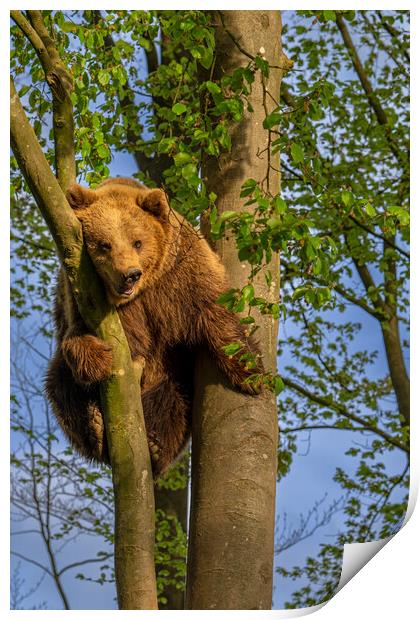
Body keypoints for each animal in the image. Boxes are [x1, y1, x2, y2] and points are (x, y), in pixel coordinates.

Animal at [46, 177, 262, 478]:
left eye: (138, 242)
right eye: (104, 245)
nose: (129, 274)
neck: (144, 289)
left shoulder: (181, 276)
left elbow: (215, 310)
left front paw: (250, 373)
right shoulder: (83, 299)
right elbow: (82, 337)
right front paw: (98, 359)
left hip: (172, 372)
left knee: (172, 401)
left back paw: (156, 446)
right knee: (61, 385)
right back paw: (96, 426)